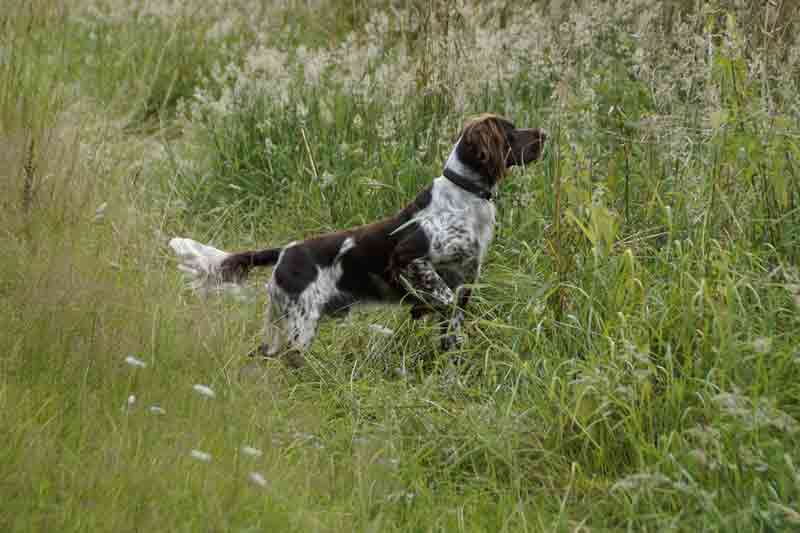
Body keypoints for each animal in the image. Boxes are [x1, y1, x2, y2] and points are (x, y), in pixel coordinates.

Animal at [168, 112, 544, 362]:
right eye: (510, 133)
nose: (544, 133)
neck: (466, 196)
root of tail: (285, 251)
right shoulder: (409, 258)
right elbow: (441, 298)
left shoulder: (465, 279)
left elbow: (452, 329)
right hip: (300, 324)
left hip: (277, 325)